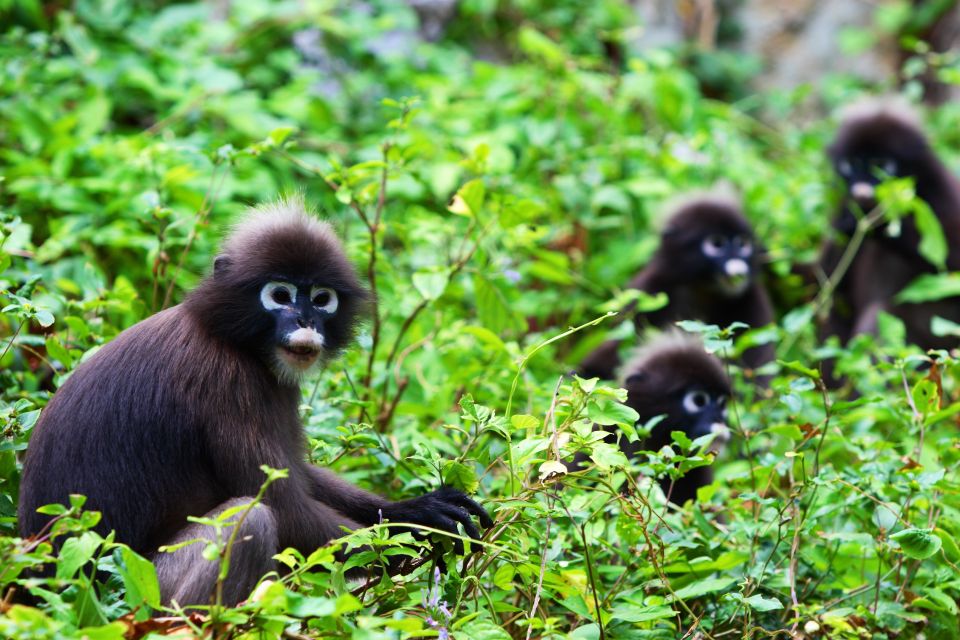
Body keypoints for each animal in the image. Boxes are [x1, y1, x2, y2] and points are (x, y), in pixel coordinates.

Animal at [17, 199, 492, 604]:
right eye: (280, 295)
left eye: (321, 299)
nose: (305, 321)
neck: (228, 337)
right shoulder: (227, 382)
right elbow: (286, 508)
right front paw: (420, 533)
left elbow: (299, 475)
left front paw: (414, 509)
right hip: (143, 587)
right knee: (255, 519)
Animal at [576, 192, 772, 382]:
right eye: (717, 244)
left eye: (743, 244)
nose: (739, 268)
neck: (702, 288)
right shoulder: (650, 290)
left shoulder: (752, 300)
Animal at [812, 99, 960, 360]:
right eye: (851, 165)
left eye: (880, 165)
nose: (862, 185)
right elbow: (827, 279)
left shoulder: (943, 190)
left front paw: (875, 218)